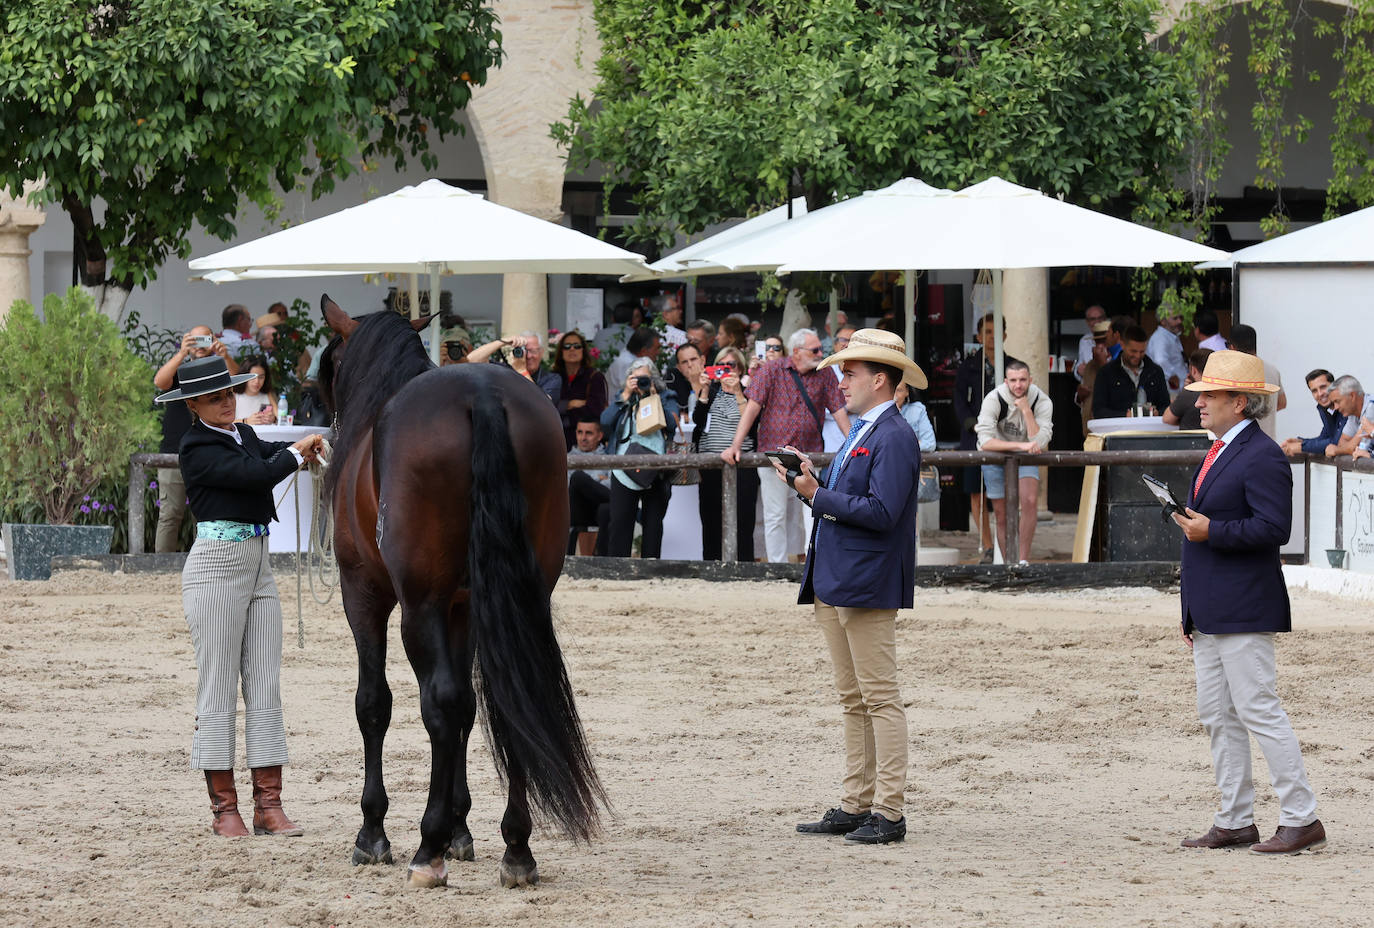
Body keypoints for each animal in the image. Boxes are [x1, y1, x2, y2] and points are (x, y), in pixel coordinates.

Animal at [320, 295, 607, 885]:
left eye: (329, 363)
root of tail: (482, 395)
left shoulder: (366, 594)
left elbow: (375, 703)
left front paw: (376, 833)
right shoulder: (464, 607)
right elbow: (473, 709)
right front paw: (461, 829)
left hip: (418, 606)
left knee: (441, 702)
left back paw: (426, 850)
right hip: (517, 597)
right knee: (507, 700)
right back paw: (516, 849)